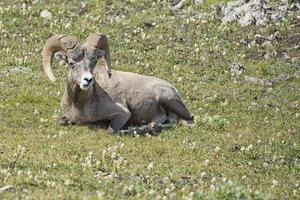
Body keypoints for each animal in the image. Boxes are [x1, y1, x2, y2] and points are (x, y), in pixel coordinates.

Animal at [42, 32, 193, 134]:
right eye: (72, 64)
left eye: (93, 62)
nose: (88, 80)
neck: (79, 104)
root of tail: (172, 88)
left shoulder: (123, 114)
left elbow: (111, 130)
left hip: (165, 98)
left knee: (186, 121)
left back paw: (148, 127)